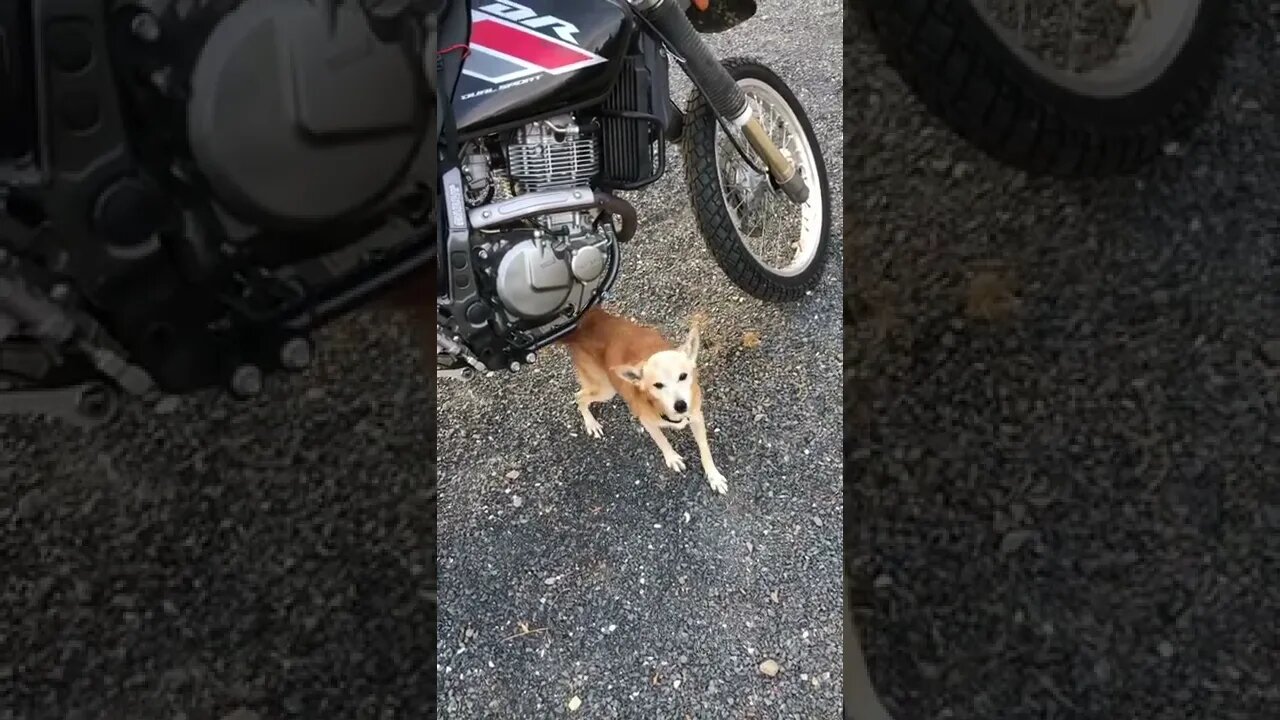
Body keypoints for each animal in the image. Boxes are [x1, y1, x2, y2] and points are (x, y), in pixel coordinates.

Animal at [560, 302, 732, 491]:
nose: (680, 405)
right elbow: (662, 440)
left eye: (683, 376)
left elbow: (704, 449)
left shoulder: (696, 416)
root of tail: (583, 321)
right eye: (658, 385)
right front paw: (672, 458)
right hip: (606, 388)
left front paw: (713, 476)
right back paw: (591, 424)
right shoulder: (647, 422)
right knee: (579, 396)